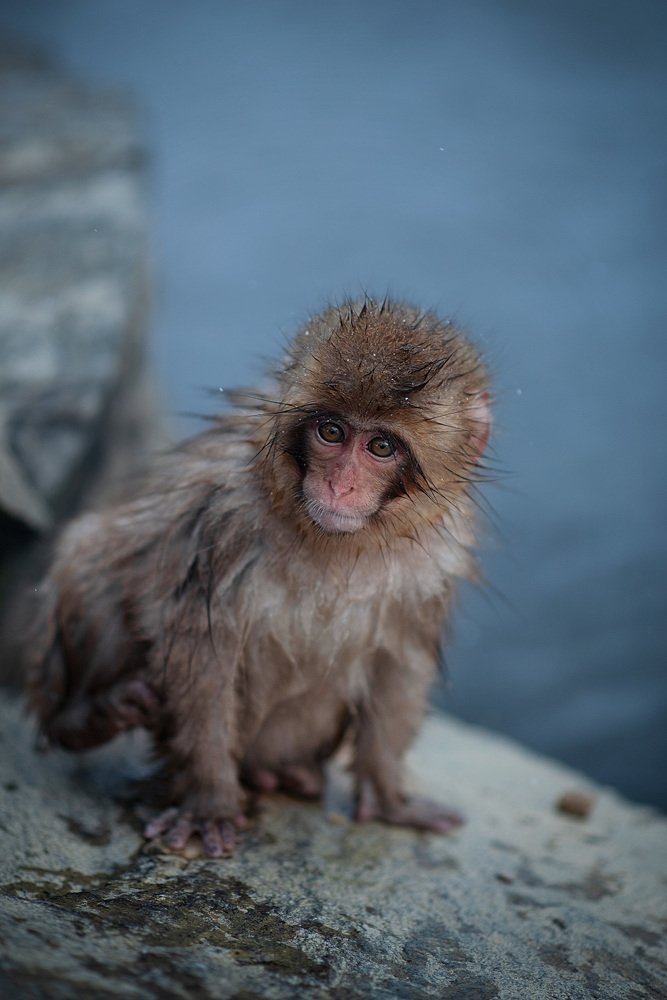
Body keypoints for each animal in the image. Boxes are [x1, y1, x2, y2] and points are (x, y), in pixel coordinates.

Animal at [26, 297, 491, 857]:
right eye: (331, 432)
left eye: (381, 447)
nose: (340, 485)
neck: (336, 542)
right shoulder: (222, 520)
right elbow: (202, 651)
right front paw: (209, 801)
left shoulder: (433, 563)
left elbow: (398, 665)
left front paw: (388, 799)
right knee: (94, 554)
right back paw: (85, 716)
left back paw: (290, 775)